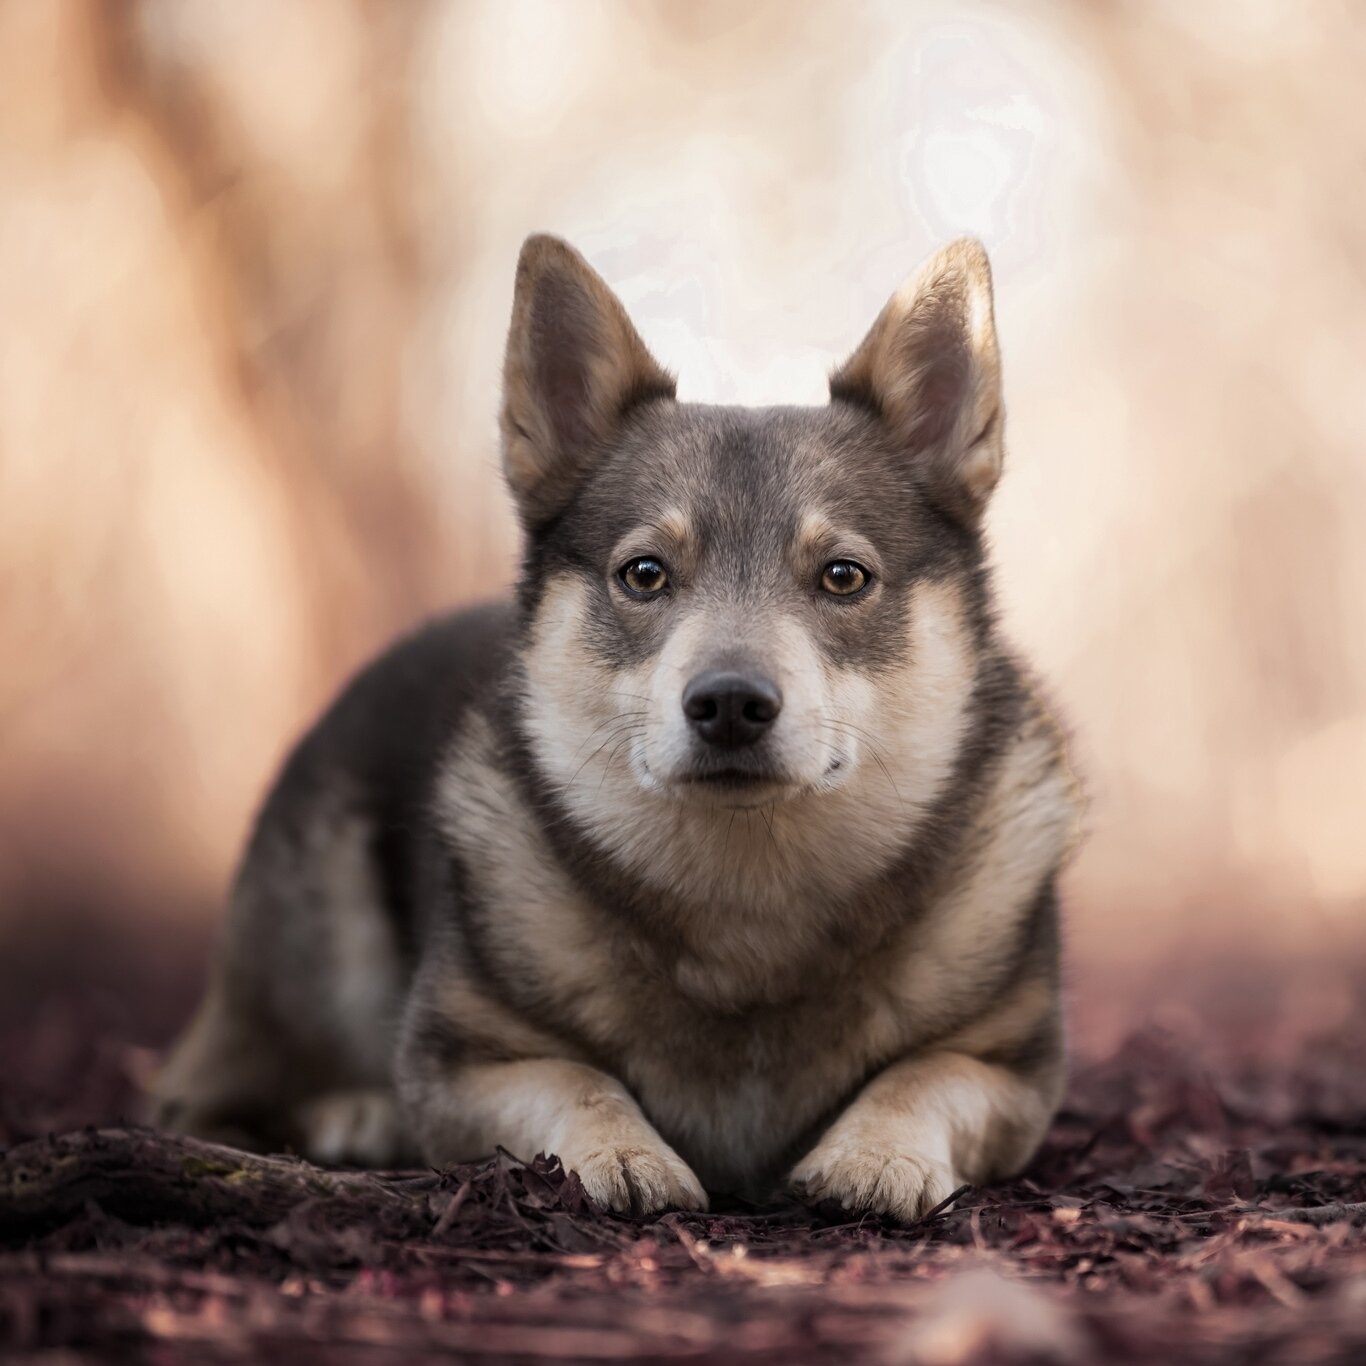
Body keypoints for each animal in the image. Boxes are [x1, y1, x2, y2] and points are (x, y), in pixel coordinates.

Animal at [149, 232, 1081, 1218]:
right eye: (643, 573)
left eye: (843, 577)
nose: (729, 703)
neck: (749, 907)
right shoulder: (465, 1059)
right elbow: (575, 1078)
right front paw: (620, 1152)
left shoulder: (1011, 1065)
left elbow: (922, 1074)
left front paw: (874, 1154)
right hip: (317, 951)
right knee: (198, 1096)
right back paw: (355, 1114)